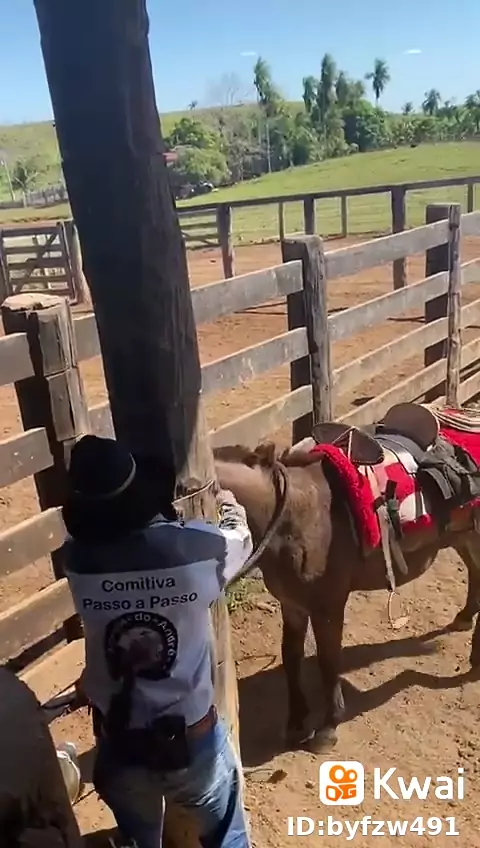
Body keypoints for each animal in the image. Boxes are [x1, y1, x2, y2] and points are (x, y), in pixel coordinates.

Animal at [213, 413, 480, 753]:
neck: (296, 518)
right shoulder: (292, 604)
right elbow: (291, 657)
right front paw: (297, 723)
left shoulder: (328, 607)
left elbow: (328, 663)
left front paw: (328, 727)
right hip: (461, 534)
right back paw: (464, 618)